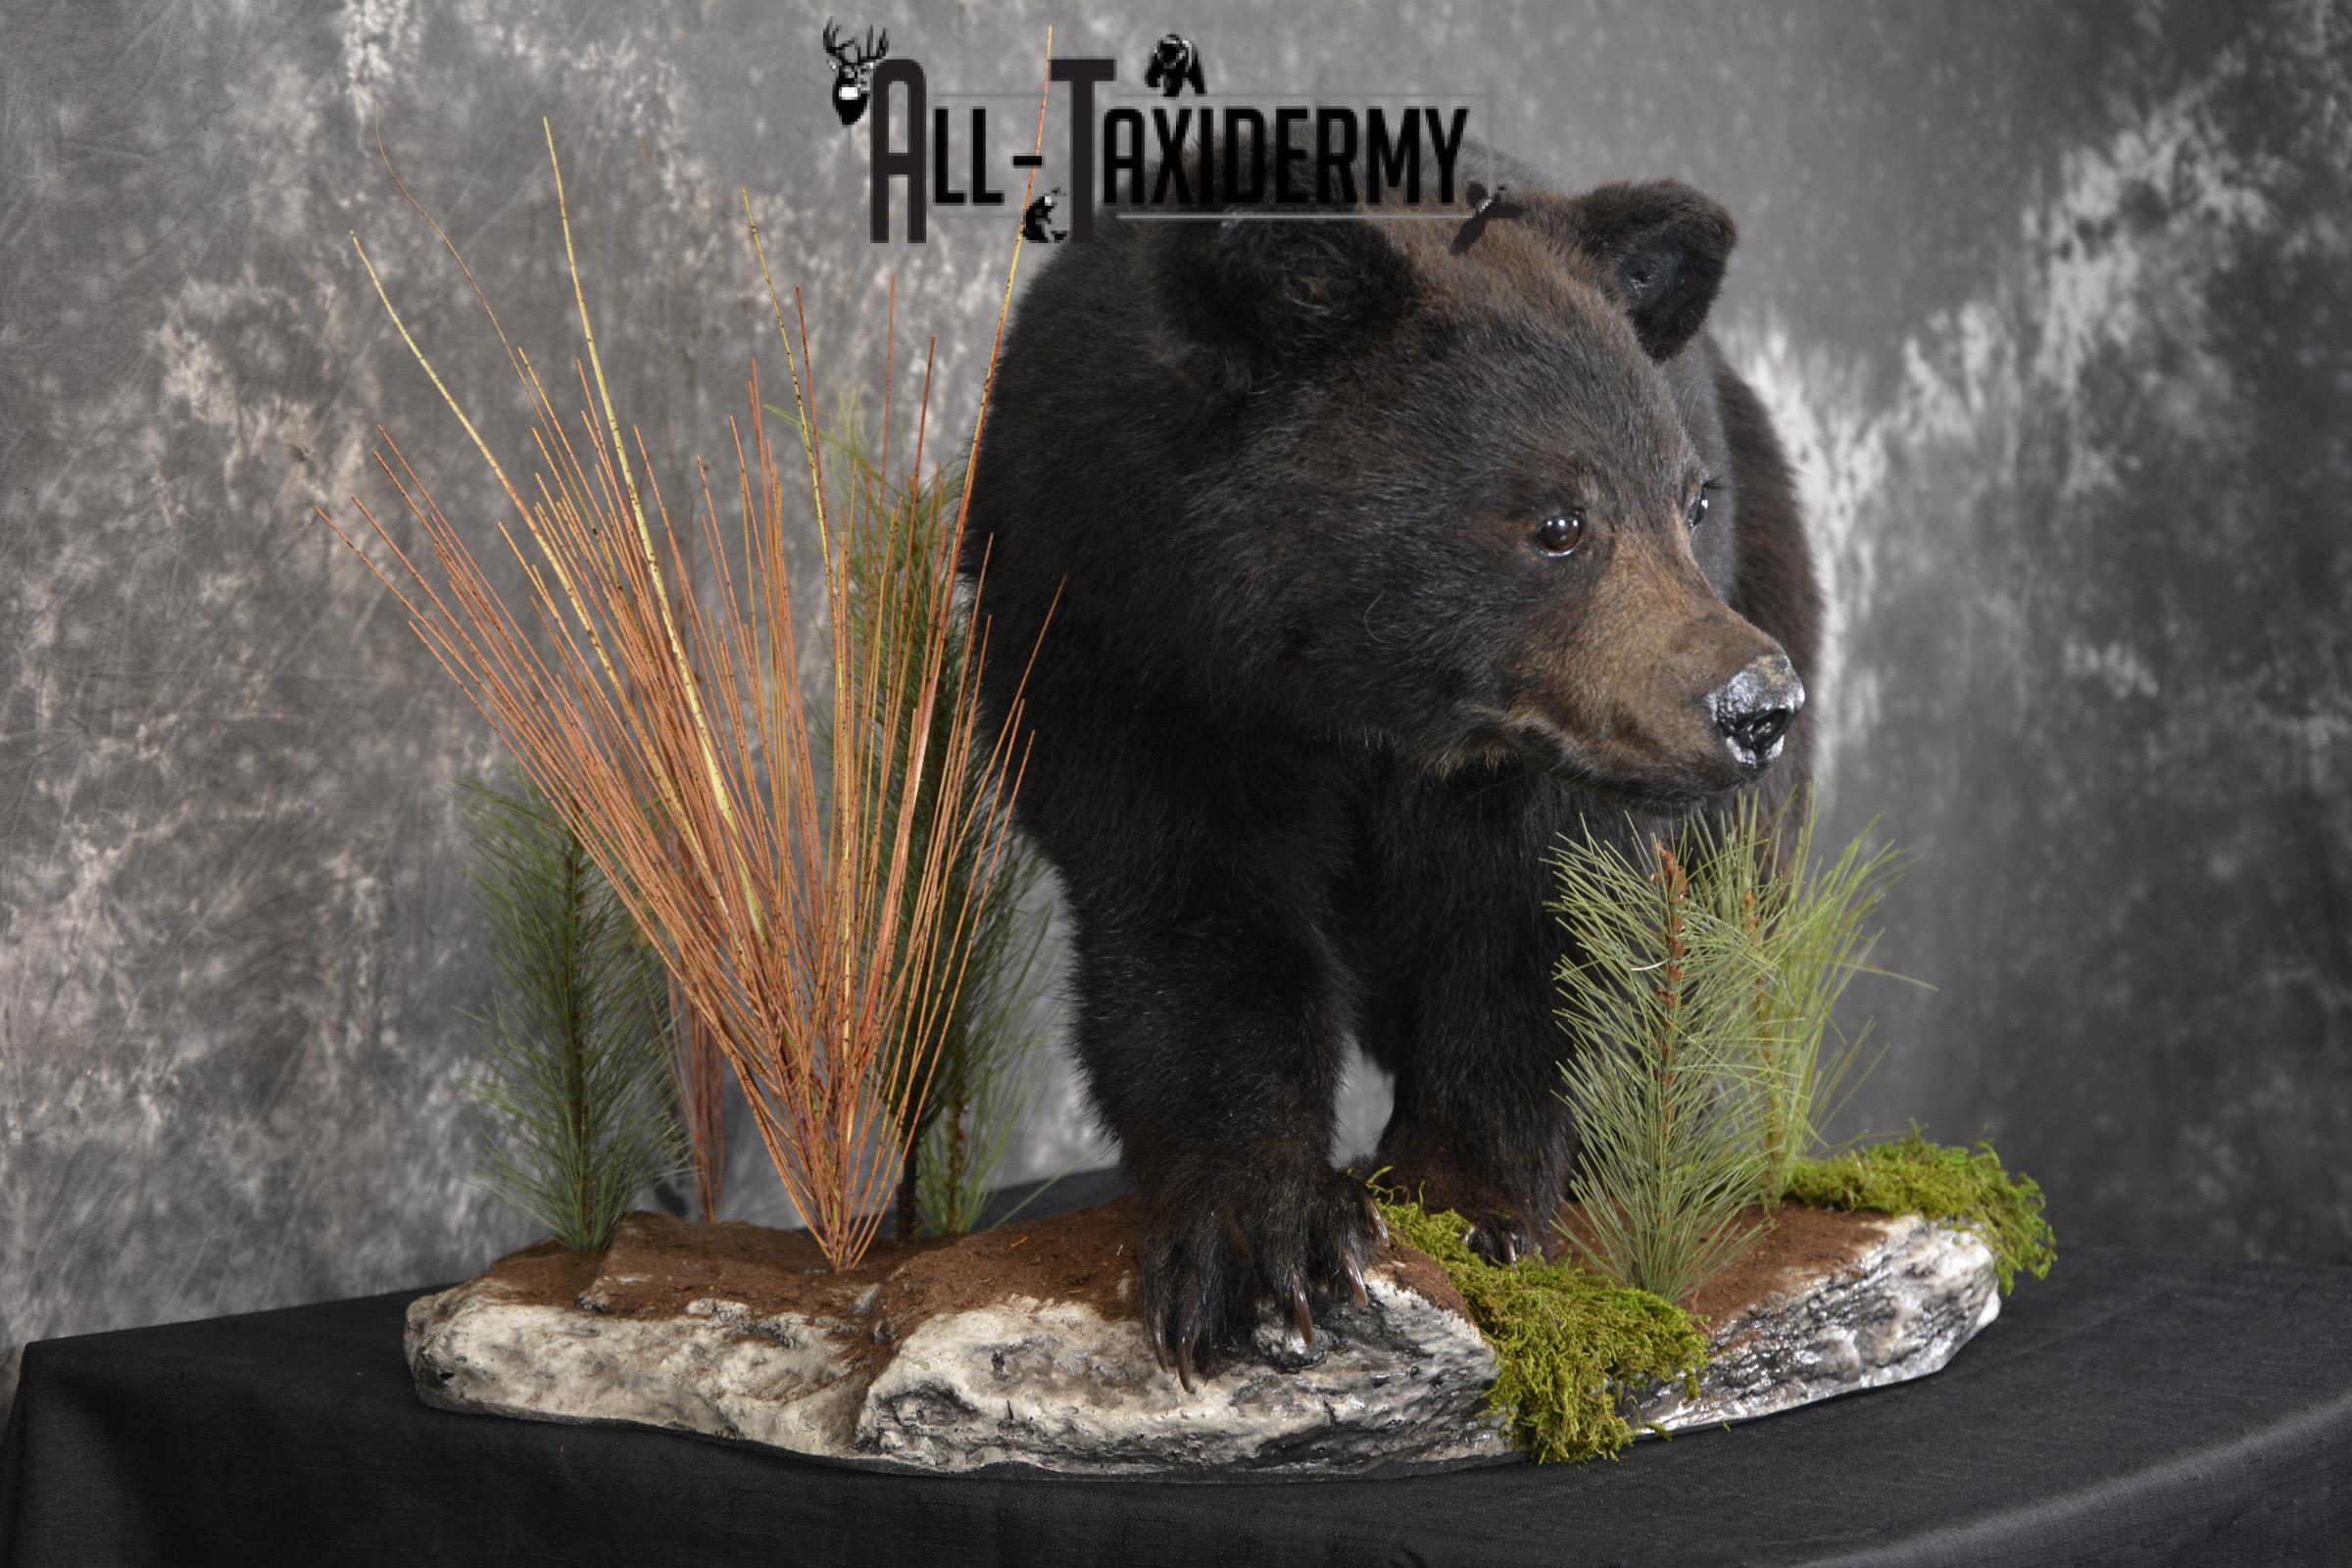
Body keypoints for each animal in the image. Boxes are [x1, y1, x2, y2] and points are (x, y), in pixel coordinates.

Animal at [961, 142, 1820, 1385]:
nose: (1757, 703)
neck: (1347, 696)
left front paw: (1463, 1196)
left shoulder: (1534, 780)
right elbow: (1191, 933)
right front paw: (1257, 1238)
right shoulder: (1114, 651)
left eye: (1691, 498)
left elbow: (1535, 938)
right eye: (1558, 521)